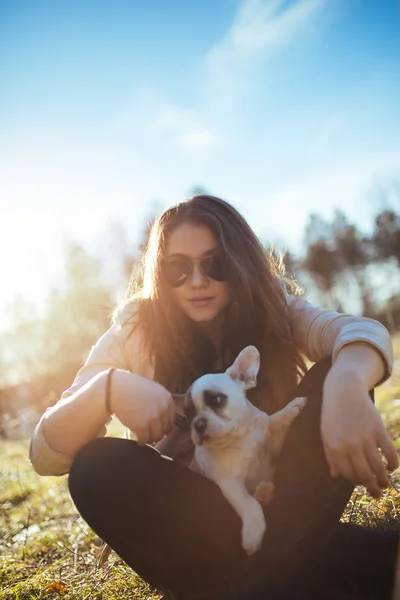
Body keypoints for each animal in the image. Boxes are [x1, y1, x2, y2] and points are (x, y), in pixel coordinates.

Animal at [184, 344, 306, 556]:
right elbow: (250, 505)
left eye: (216, 400)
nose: (197, 424)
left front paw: (292, 407)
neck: (240, 435)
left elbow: (276, 421)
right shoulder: (230, 483)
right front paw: (253, 534)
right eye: (188, 415)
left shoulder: (272, 449)